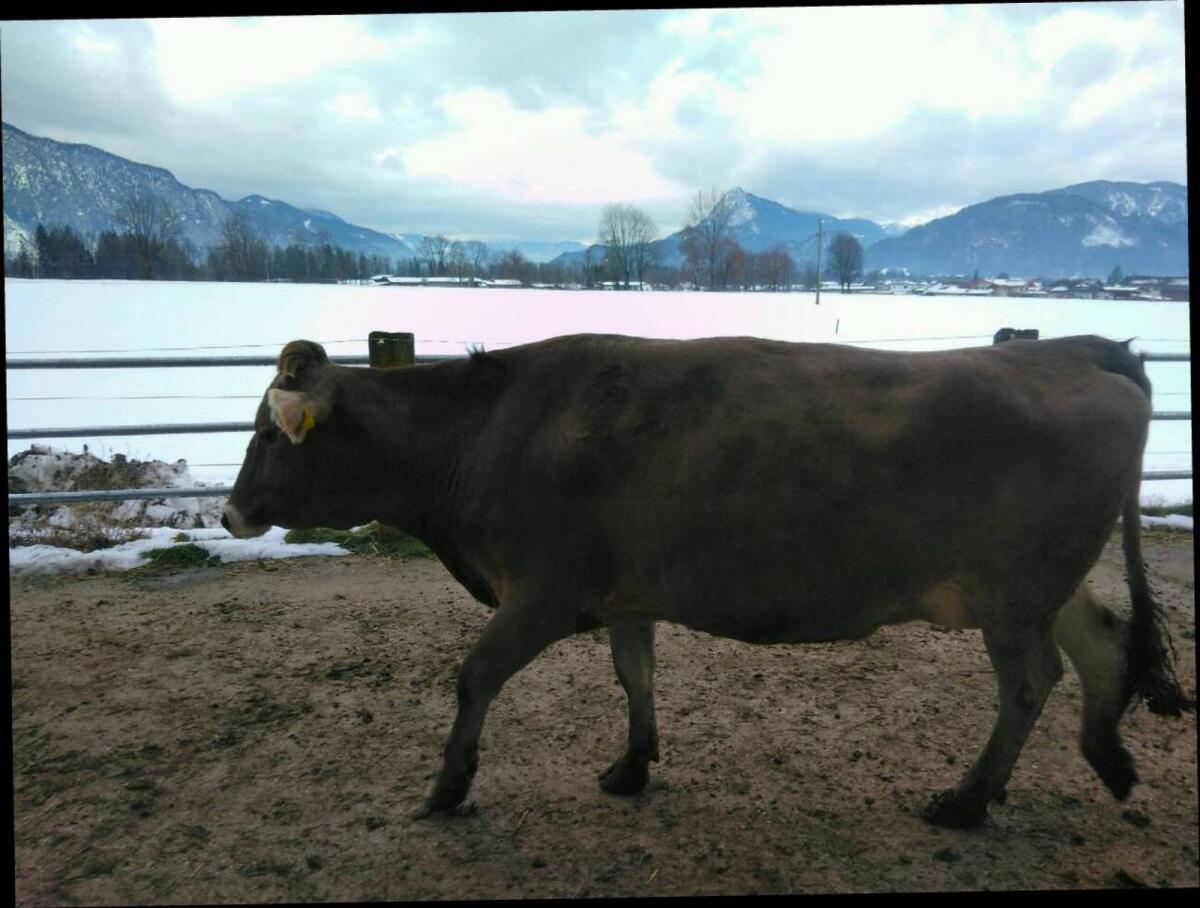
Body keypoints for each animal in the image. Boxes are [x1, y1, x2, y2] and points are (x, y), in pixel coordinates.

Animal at [221, 333, 1190, 828]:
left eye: (269, 434)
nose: (229, 513)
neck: (489, 430)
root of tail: (1079, 349)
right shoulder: (624, 593)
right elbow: (635, 676)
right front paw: (632, 764)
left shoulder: (542, 591)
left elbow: (475, 676)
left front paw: (448, 785)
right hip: (1040, 585)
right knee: (1104, 644)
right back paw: (1108, 759)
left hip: (1013, 591)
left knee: (1030, 682)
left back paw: (968, 798)